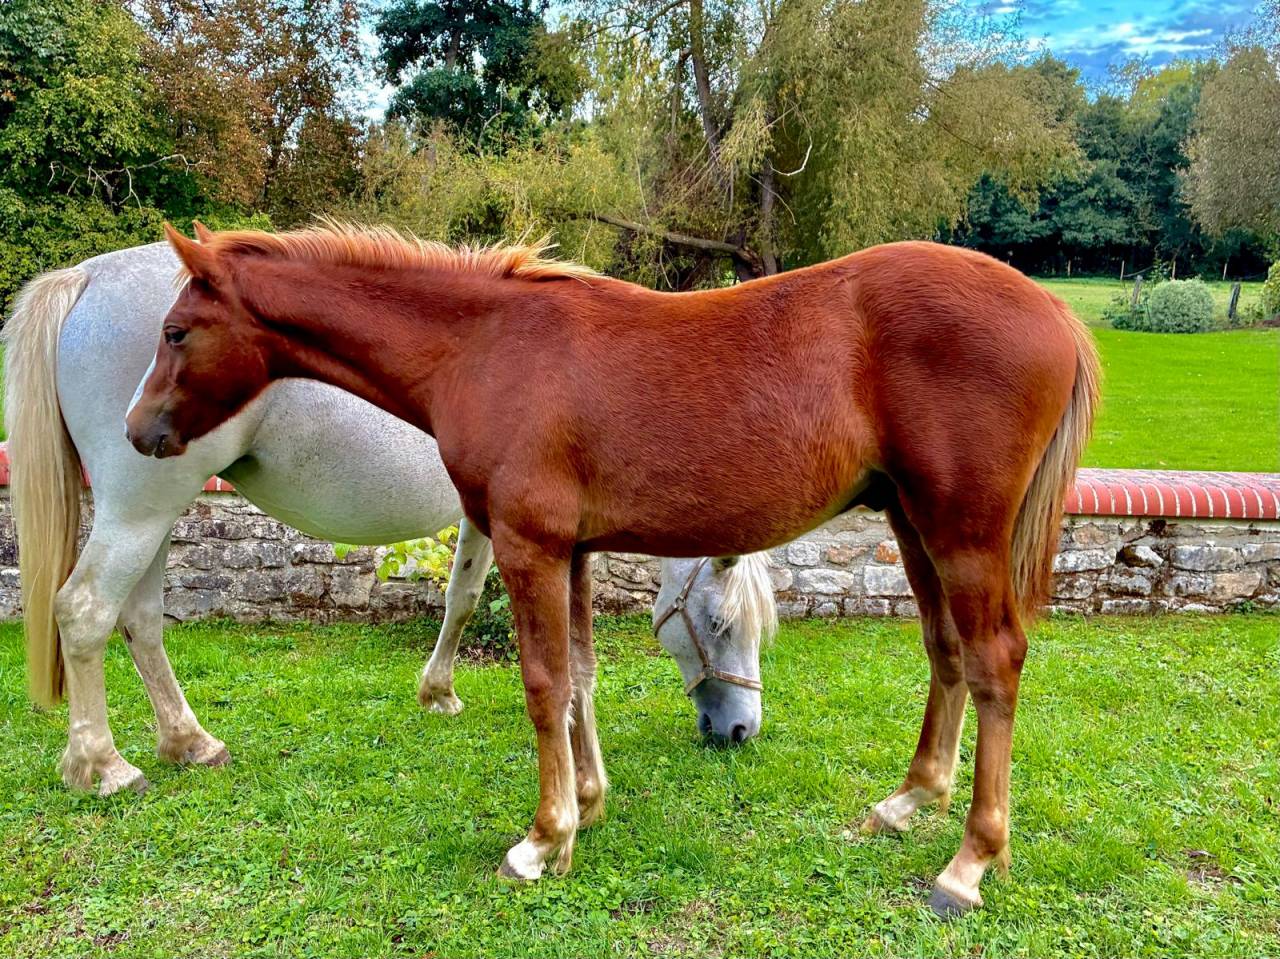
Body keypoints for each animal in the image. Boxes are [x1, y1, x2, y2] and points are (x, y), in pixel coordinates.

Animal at [2, 241, 775, 799]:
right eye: (721, 622)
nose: (739, 729)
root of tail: (87, 276)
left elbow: (462, 595)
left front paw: (439, 693)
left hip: (153, 512)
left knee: (140, 619)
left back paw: (189, 742)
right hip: (141, 508)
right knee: (85, 610)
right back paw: (103, 766)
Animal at [125, 222, 1099, 916]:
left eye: (176, 330)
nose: (139, 432)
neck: (483, 345)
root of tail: (1057, 315)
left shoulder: (530, 545)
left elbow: (542, 681)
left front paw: (540, 838)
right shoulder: (575, 550)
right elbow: (583, 676)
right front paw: (587, 808)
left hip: (962, 528)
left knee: (995, 659)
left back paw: (968, 861)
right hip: (909, 519)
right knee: (945, 650)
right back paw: (906, 802)